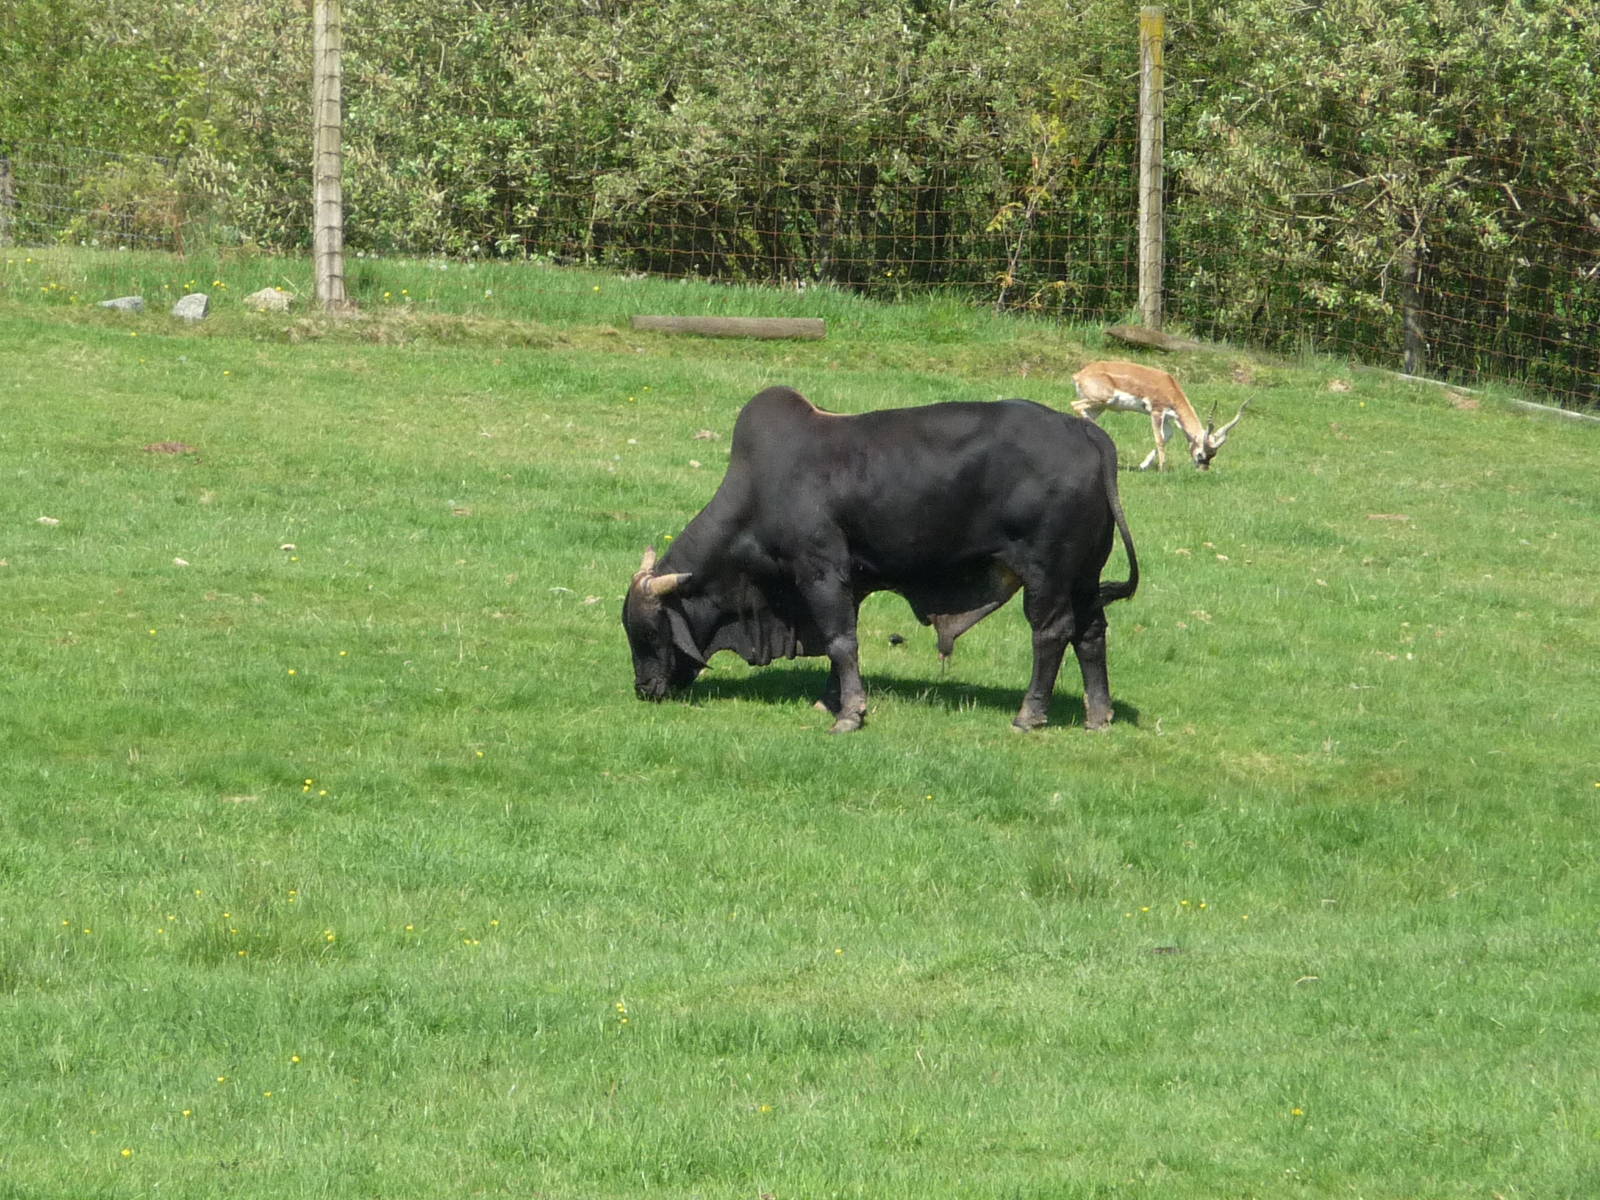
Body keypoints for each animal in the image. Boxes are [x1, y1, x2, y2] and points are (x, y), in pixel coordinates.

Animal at [622, 386, 1139, 733]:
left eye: (648, 632)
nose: (644, 690)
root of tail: (1086, 431)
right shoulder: (847, 583)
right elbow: (842, 642)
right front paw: (830, 700)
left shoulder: (820, 572)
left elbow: (839, 641)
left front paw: (850, 714)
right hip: (1085, 574)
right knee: (1091, 633)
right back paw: (1098, 715)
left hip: (1047, 573)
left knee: (1051, 633)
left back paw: (1030, 714)